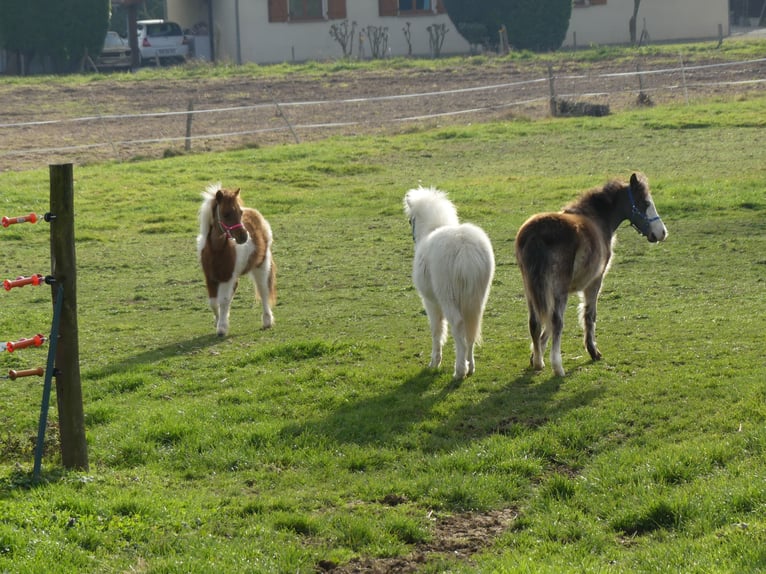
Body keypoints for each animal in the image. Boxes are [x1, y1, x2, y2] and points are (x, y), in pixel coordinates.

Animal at [197, 183, 276, 336]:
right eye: (226, 214)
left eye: (240, 213)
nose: (244, 237)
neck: (216, 250)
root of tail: (257, 214)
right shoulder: (210, 277)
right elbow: (213, 302)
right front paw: (218, 321)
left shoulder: (227, 277)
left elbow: (223, 300)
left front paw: (222, 328)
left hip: (261, 266)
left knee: (263, 290)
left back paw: (267, 321)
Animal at [404, 186, 495, 381]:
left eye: (411, 220)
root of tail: (465, 249)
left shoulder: (430, 302)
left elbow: (437, 330)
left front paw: (434, 362)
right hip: (477, 299)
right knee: (471, 329)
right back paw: (470, 367)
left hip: (448, 297)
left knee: (459, 326)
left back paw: (459, 370)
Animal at [514, 172, 667, 377]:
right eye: (645, 202)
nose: (661, 232)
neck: (597, 219)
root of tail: (535, 235)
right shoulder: (595, 281)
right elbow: (589, 314)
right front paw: (593, 351)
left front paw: (534, 355)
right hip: (559, 289)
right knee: (556, 321)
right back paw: (557, 366)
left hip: (530, 288)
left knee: (535, 321)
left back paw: (539, 362)